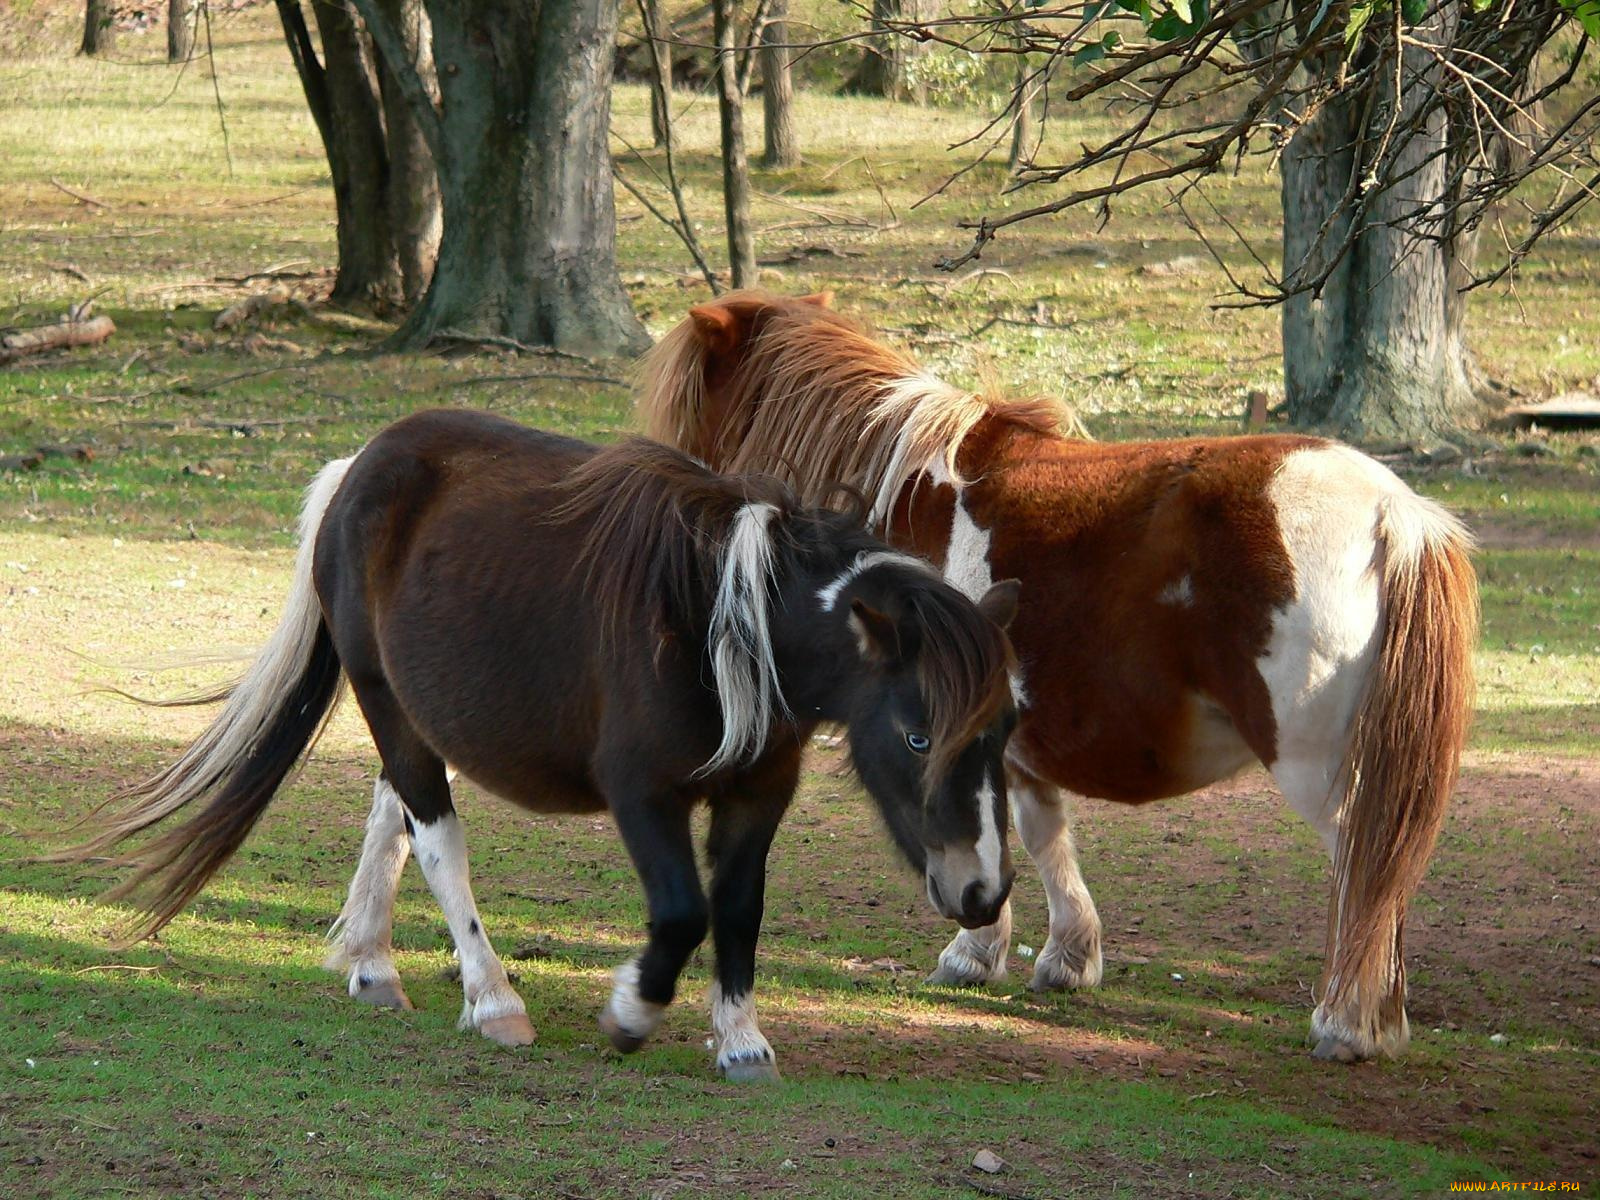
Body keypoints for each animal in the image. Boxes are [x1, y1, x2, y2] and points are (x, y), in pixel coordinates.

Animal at [68, 412, 1017, 1081]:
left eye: (1004, 731)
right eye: (919, 732)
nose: (981, 892)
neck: (726, 618)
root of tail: (359, 468)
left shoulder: (758, 794)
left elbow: (739, 908)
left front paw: (741, 1040)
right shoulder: (643, 792)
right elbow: (684, 910)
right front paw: (630, 1014)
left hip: (414, 713)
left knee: (390, 815)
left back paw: (373, 966)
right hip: (386, 702)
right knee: (436, 838)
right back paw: (492, 999)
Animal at [633, 291, 1472, 1062]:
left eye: (685, 414)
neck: (903, 492)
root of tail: (1392, 512)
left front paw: (977, 949)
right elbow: (1037, 831)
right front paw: (1064, 954)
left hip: (1319, 767)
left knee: (1364, 866)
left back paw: (1347, 1022)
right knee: (1386, 868)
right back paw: (1380, 1017)